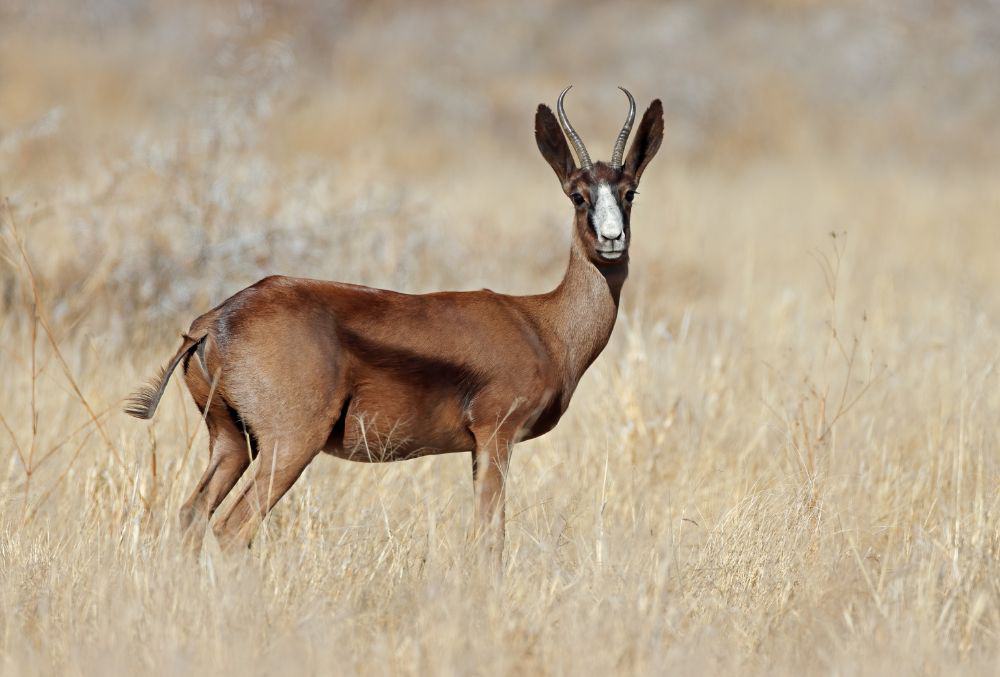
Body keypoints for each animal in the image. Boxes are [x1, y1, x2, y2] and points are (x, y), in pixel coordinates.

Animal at [127, 86, 664, 560]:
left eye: (630, 192)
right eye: (577, 195)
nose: (612, 240)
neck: (543, 325)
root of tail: (213, 321)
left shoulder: (477, 449)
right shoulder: (497, 436)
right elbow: (490, 539)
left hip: (232, 443)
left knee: (191, 516)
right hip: (290, 445)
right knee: (233, 528)